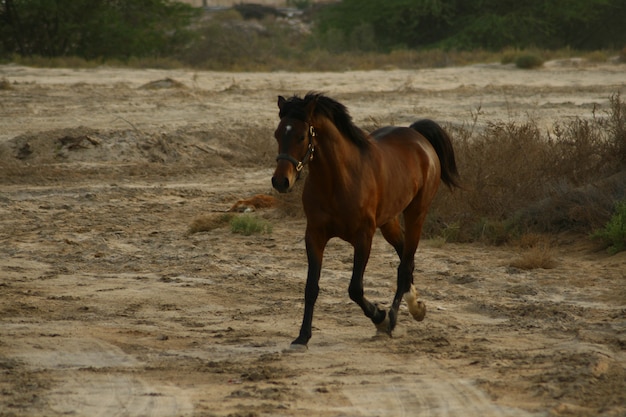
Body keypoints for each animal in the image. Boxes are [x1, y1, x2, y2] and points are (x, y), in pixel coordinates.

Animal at [270, 92, 458, 348]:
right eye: (277, 134)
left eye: (301, 136)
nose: (281, 181)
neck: (339, 180)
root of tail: (418, 137)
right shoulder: (315, 235)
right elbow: (311, 287)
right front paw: (302, 336)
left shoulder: (363, 237)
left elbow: (355, 289)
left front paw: (381, 317)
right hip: (389, 222)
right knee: (405, 257)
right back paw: (416, 306)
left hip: (416, 213)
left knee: (405, 265)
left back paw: (395, 318)